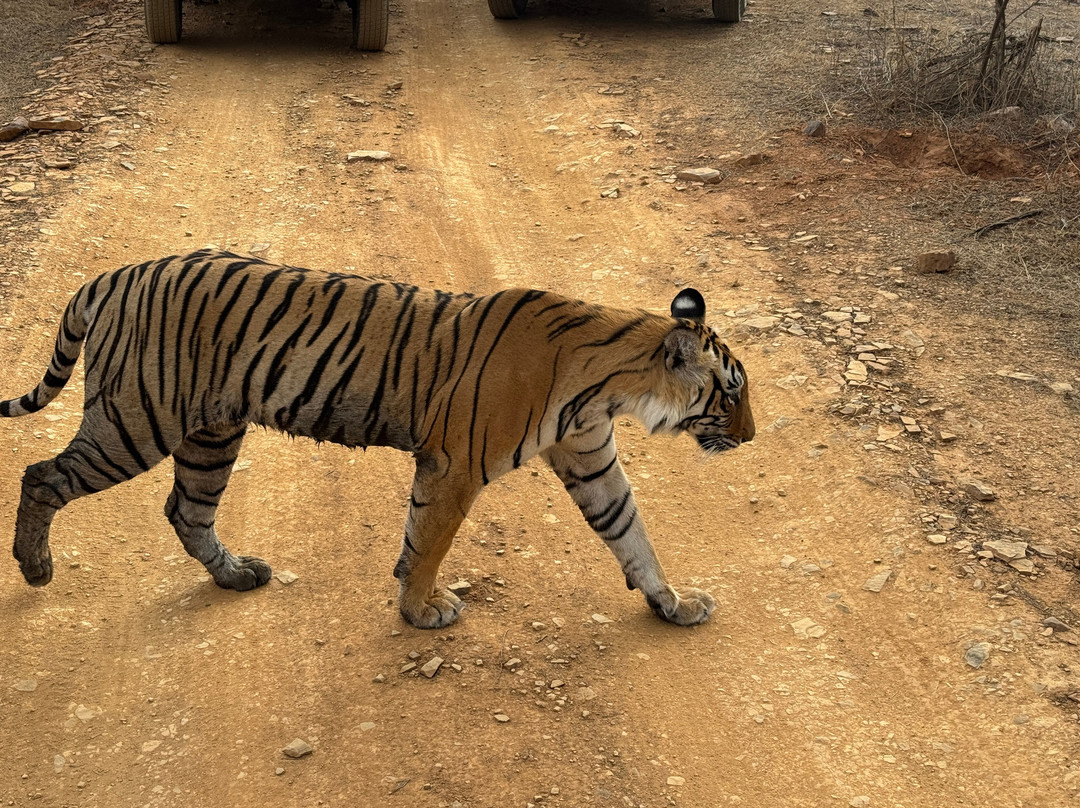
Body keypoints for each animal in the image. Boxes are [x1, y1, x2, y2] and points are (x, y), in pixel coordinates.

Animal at [2, 249, 755, 629]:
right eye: (732, 393)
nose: (749, 437)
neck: (610, 383)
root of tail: (115, 274)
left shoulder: (590, 459)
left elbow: (631, 532)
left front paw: (672, 602)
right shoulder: (454, 465)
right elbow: (429, 540)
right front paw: (421, 609)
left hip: (211, 430)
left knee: (186, 510)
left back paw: (236, 574)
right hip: (136, 419)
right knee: (43, 474)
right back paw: (35, 567)